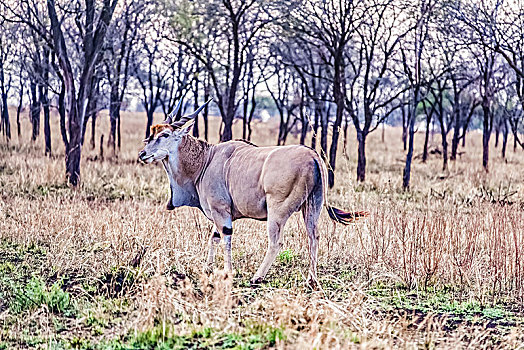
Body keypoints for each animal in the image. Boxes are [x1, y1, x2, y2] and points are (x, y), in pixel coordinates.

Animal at [139, 100, 368, 286]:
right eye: (152, 134)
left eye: (165, 135)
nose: (142, 154)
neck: (206, 159)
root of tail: (313, 156)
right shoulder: (219, 213)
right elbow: (213, 237)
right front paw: (207, 268)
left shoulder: (221, 211)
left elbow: (225, 237)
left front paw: (228, 272)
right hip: (312, 207)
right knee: (314, 237)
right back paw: (311, 280)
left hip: (277, 212)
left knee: (276, 242)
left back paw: (257, 277)